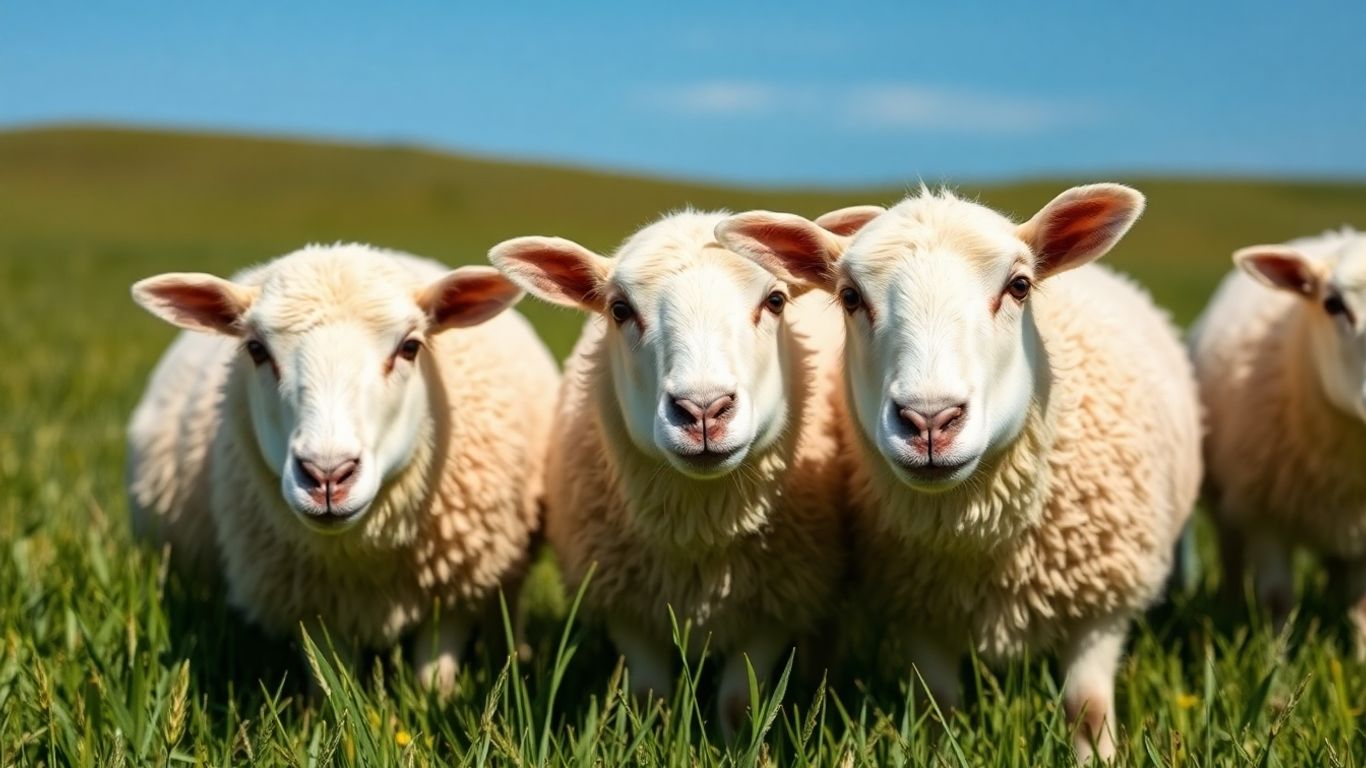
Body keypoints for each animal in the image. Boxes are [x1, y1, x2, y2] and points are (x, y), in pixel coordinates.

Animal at [126, 243, 558, 691]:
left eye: (410, 347)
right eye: (256, 350)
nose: (327, 475)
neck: (365, 562)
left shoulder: (456, 586)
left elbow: (433, 674)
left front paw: (436, 700)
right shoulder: (312, 602)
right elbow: (332, 684)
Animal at [488, 211, 846, 737]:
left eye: (775, 301)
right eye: (619, 309)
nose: (703, 410)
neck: (701, 526)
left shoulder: (778, 599)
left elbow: (739, 701)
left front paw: (737, 744)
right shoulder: (626, 602)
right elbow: (648, 694)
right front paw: (650, 737)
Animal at [716, 185, 1201, 762]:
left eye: (1019, 286)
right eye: (851, 297)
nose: (930, 420)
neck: (981, 535)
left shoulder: (1102, 605)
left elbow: (1088, 708)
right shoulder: (921, 603)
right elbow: (937, 708)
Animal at [1190, 228, 1366, 646]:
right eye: (1333, 304)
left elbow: (1364, 609)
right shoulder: (1265, 513)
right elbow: (1276, 598)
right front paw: (1275, 657)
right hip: (1226, 502)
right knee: (1231, 556)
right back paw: (1229, 608)